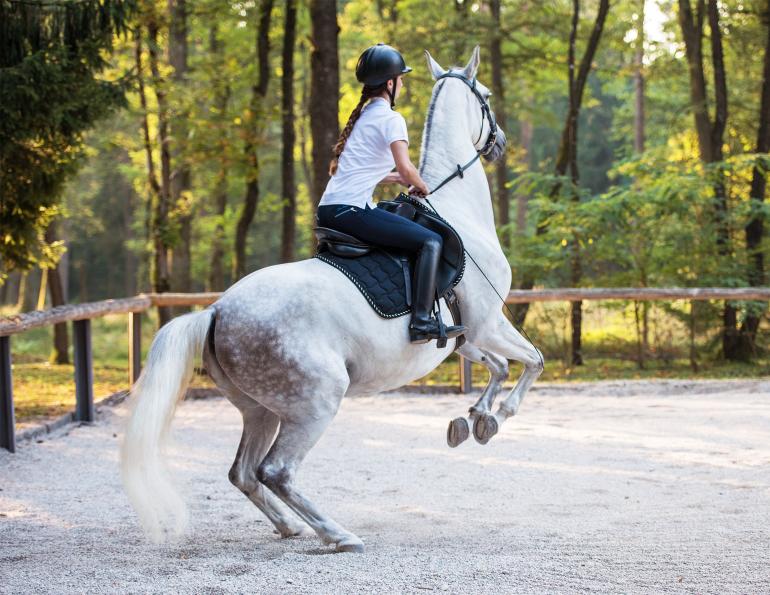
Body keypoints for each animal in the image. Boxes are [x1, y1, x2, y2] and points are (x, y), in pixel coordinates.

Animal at [120, 46, 544, 554]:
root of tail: (218, 311)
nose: (500, 143)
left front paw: (476, 420)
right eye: (487, 96)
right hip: (315, 401)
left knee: (244, 473)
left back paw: (291, 527)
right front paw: (500, 413)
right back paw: (338, 534)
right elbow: (533, 359)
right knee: (276, 471)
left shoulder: (466, 338)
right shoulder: (488, 323)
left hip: (261, 408)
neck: (456, 212)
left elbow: (498, 366)